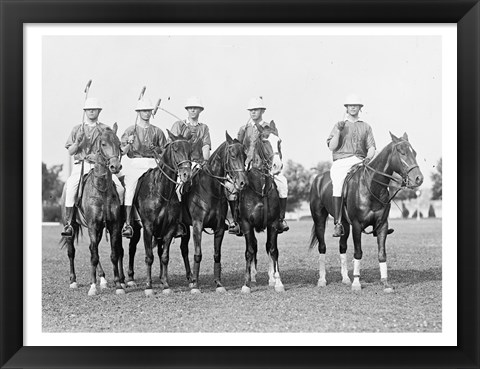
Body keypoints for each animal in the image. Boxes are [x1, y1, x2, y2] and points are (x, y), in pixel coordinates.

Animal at [60, 123, 125, 296]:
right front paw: (92, 287)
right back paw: (73, 281)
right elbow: (93, 256)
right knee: (72, 251)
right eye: (103, 144)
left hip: (100, 229)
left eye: (119, 144)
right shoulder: (92, 224)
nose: (115, 166)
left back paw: (102, 279)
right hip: (71, 225)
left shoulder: (112, 225)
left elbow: (113, 254)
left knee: (92, 248)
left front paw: (118, 285)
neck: (101, 190)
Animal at [126, 131, 192, 294]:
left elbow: (164, 256)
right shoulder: (148, 228)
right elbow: (149, 256)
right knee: (131, 248)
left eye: (190, 150)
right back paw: (130, 279)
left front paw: (165, 283)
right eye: (175, 149)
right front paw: (149, 285)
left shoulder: (169, 228)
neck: (161, 192)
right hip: (135, 228)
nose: (187, 175)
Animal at [178, 131, 249, 292]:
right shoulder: (197, 226)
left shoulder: (219, 228)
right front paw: (196, 285)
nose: (242, 182)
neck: (210, 190)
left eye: (245, 156)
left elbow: (217, 255)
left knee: (183, 249)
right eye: (233, 155)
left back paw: (190, 278)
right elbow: (198, 254)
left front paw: (218, 283)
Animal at [237, 121, 284, 294]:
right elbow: (249, 251)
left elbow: (273, 250)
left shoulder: (273, 224)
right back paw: (253, 276)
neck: (260, 188)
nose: (277, 166)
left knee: (267, 247)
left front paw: (278, 282)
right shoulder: (246, 224)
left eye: (279, 141)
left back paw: (271, 278)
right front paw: (246, 284)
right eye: (264, 141)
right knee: (254, 247)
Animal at [308, 131, 424, 292]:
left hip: (344, 224)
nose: (418, 179)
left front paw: (385, 283)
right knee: (322, 247)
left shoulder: (382, 225)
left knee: (342, 246)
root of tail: (317, 178)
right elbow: (358, 252)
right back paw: (322, 280)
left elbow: (382, 254)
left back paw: (345, 279)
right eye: (402, 152)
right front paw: (357, 283)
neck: (372, 186)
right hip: (319, 219)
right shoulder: (357, 225)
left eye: (415, 152)